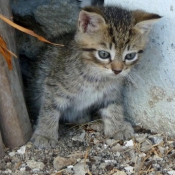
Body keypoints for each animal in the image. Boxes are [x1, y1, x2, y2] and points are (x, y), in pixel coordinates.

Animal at [29, 5, 161, 148]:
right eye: (103, 54)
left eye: (130, 56)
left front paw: (118, 127)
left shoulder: (111, 91)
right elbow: (50, 109)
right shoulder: (53, 85)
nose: (117, 70)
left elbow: (113, 105)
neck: (97, 77)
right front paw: (45, 134)